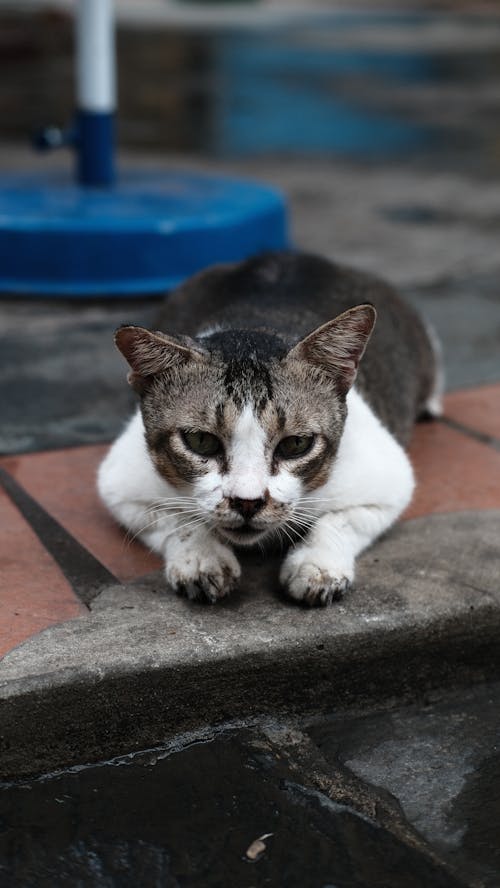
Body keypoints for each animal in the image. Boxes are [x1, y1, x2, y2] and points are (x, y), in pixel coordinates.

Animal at [97, 253, 442, 608]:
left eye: (296, 444)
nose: (247, 502)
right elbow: (176, 520)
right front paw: (202, 557)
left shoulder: (387, 480)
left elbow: (340, 520)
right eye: (201, 441)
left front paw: (317, 565)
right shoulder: (122, 484)